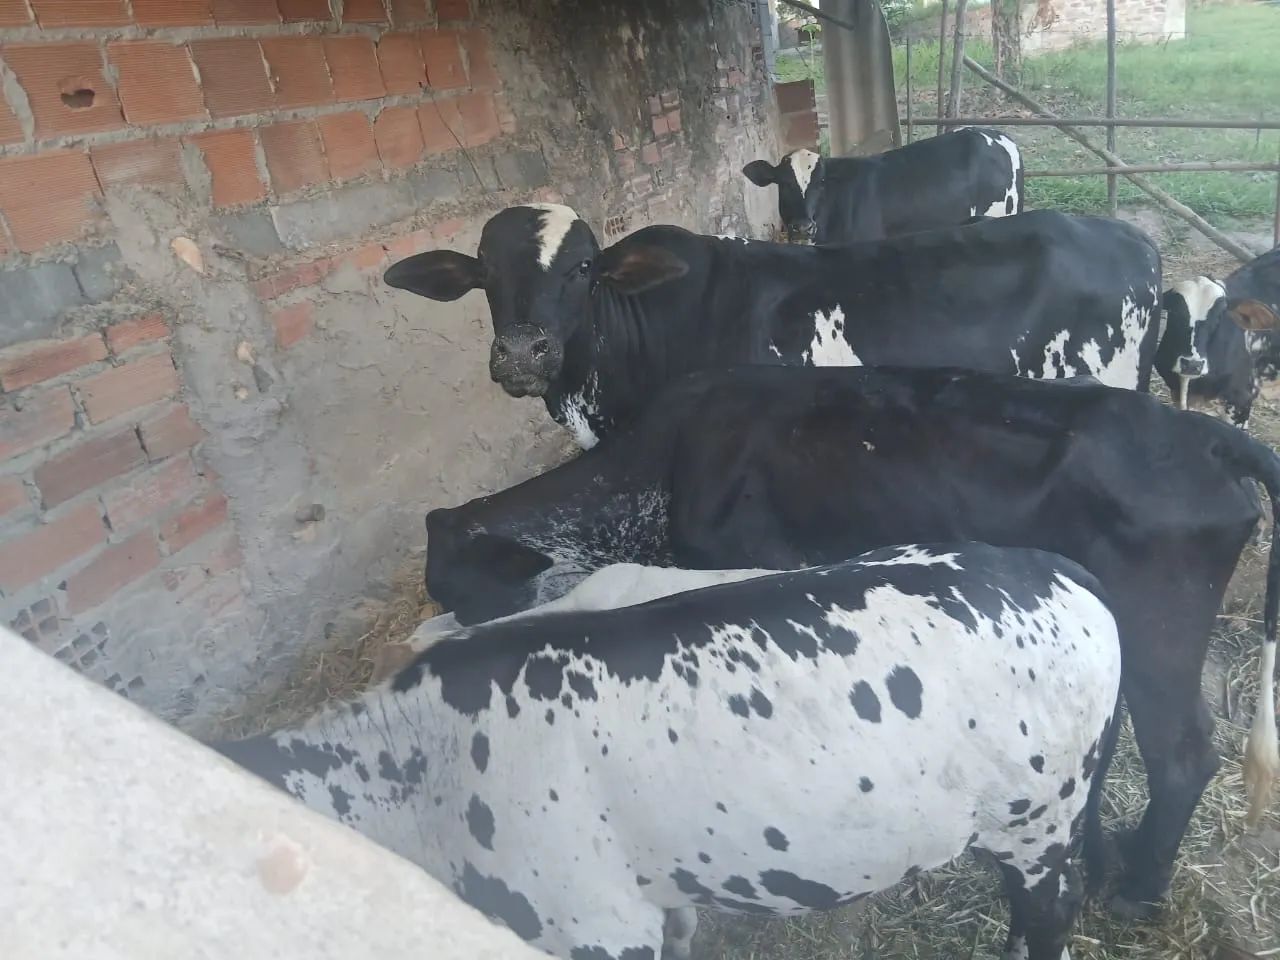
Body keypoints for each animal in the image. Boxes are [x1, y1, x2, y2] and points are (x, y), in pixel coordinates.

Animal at [421, 364, 1280, 919]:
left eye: (457, 589)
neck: (661, 469)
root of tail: (1206, 436)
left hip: (1160, 622)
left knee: (1183, 753)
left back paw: (1138, 890)